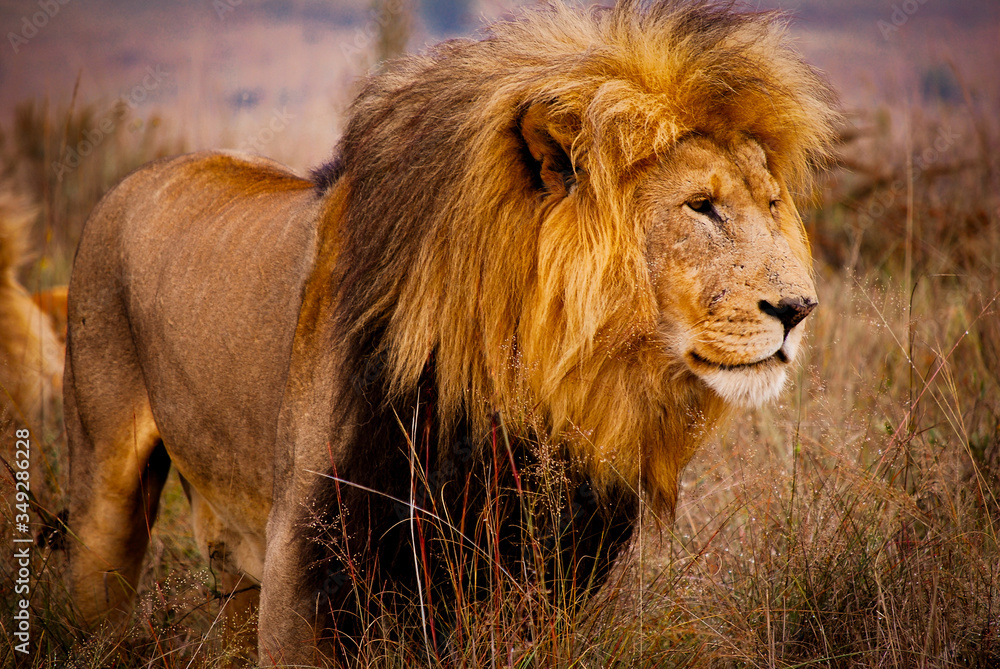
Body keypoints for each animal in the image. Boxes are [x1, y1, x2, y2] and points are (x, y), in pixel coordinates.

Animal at [65, 1, 838, 665]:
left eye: (773, 203)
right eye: (700, 206)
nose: (799, 308)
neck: (521, 389)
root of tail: (132, 180)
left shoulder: (544, 577)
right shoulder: (305, 557)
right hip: (106, 488)